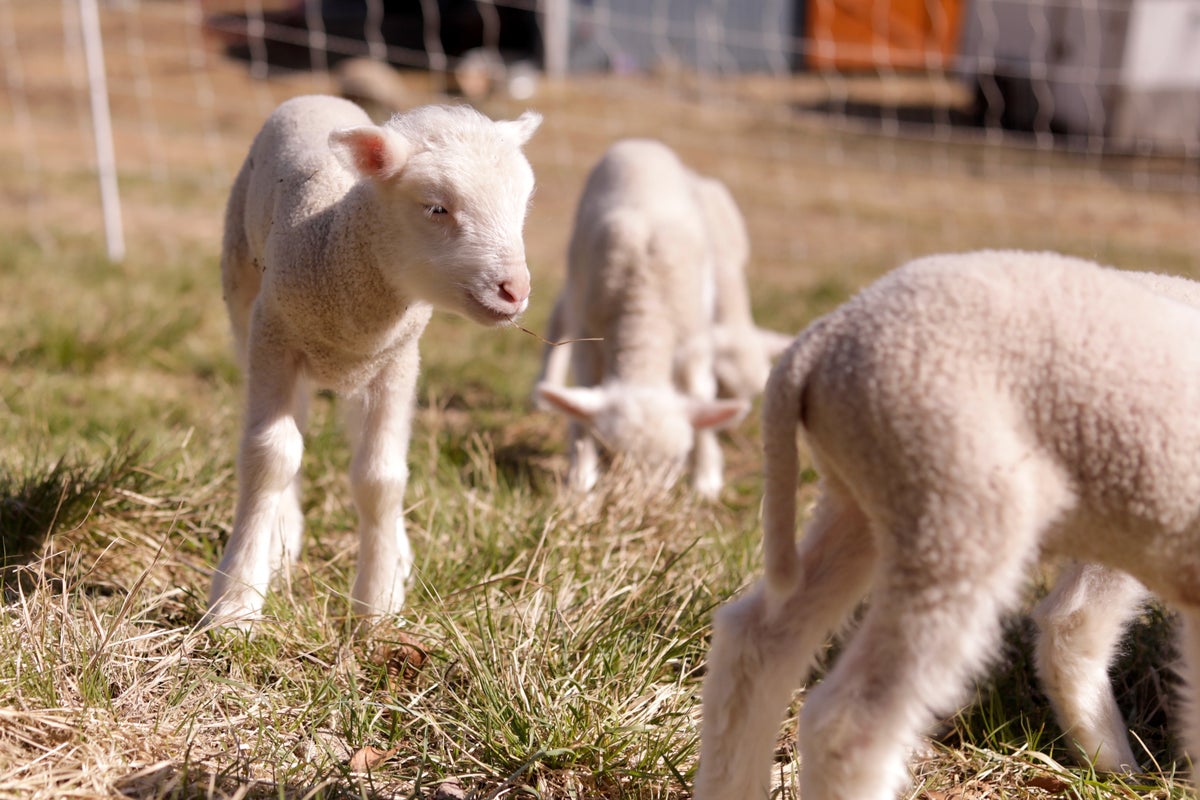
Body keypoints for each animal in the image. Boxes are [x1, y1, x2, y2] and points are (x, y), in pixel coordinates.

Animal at [205, 95, 541, 628]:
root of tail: (315, 96)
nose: (515, 290)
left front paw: (377, 604)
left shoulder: (396, 363)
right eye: (436, 207)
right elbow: (270, 457)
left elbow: (381, 477)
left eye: (522, 205)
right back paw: (281, 538)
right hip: (243, 294)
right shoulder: (273, 339)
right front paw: (236, 601)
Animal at [533, 138, 777, 497]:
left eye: (677, 461)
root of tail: (639, 143)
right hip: (576, 271)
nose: (643, 503)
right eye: (610, 455)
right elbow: (583, 398)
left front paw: (706, 478)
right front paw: (581, 476)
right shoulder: (588, 334)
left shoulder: (695, 342)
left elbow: (699, 396)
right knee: (560, 314)